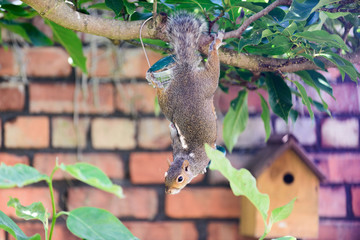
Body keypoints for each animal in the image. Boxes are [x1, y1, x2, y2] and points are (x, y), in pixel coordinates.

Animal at [150, 11, 224, 195]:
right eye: (165, 174)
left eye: (180, 179)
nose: (168, 191)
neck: (188, 157)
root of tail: (185, 73)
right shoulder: (176, 149)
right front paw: (171, 128)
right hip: (176, 98)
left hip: (205, 84)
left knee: (213, 66)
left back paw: (216, 44)